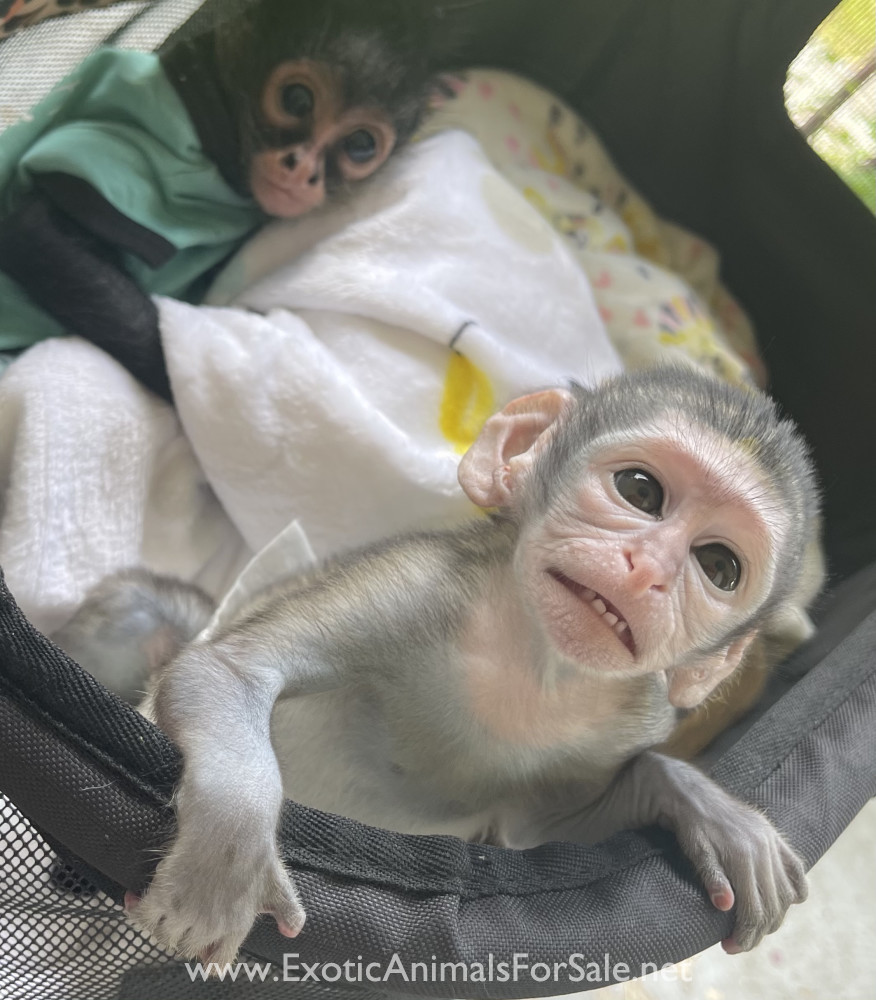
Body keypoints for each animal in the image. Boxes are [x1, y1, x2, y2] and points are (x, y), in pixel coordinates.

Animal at [56, 366, 820, 967]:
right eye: (640, 490)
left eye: (718, 566)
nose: (649, 571)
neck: (529, 663)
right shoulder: (420, 582)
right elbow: (232, 672)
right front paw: (229, 848)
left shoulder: (624, 721)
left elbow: (536, 844)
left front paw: (697, 802)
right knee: (144, 617)